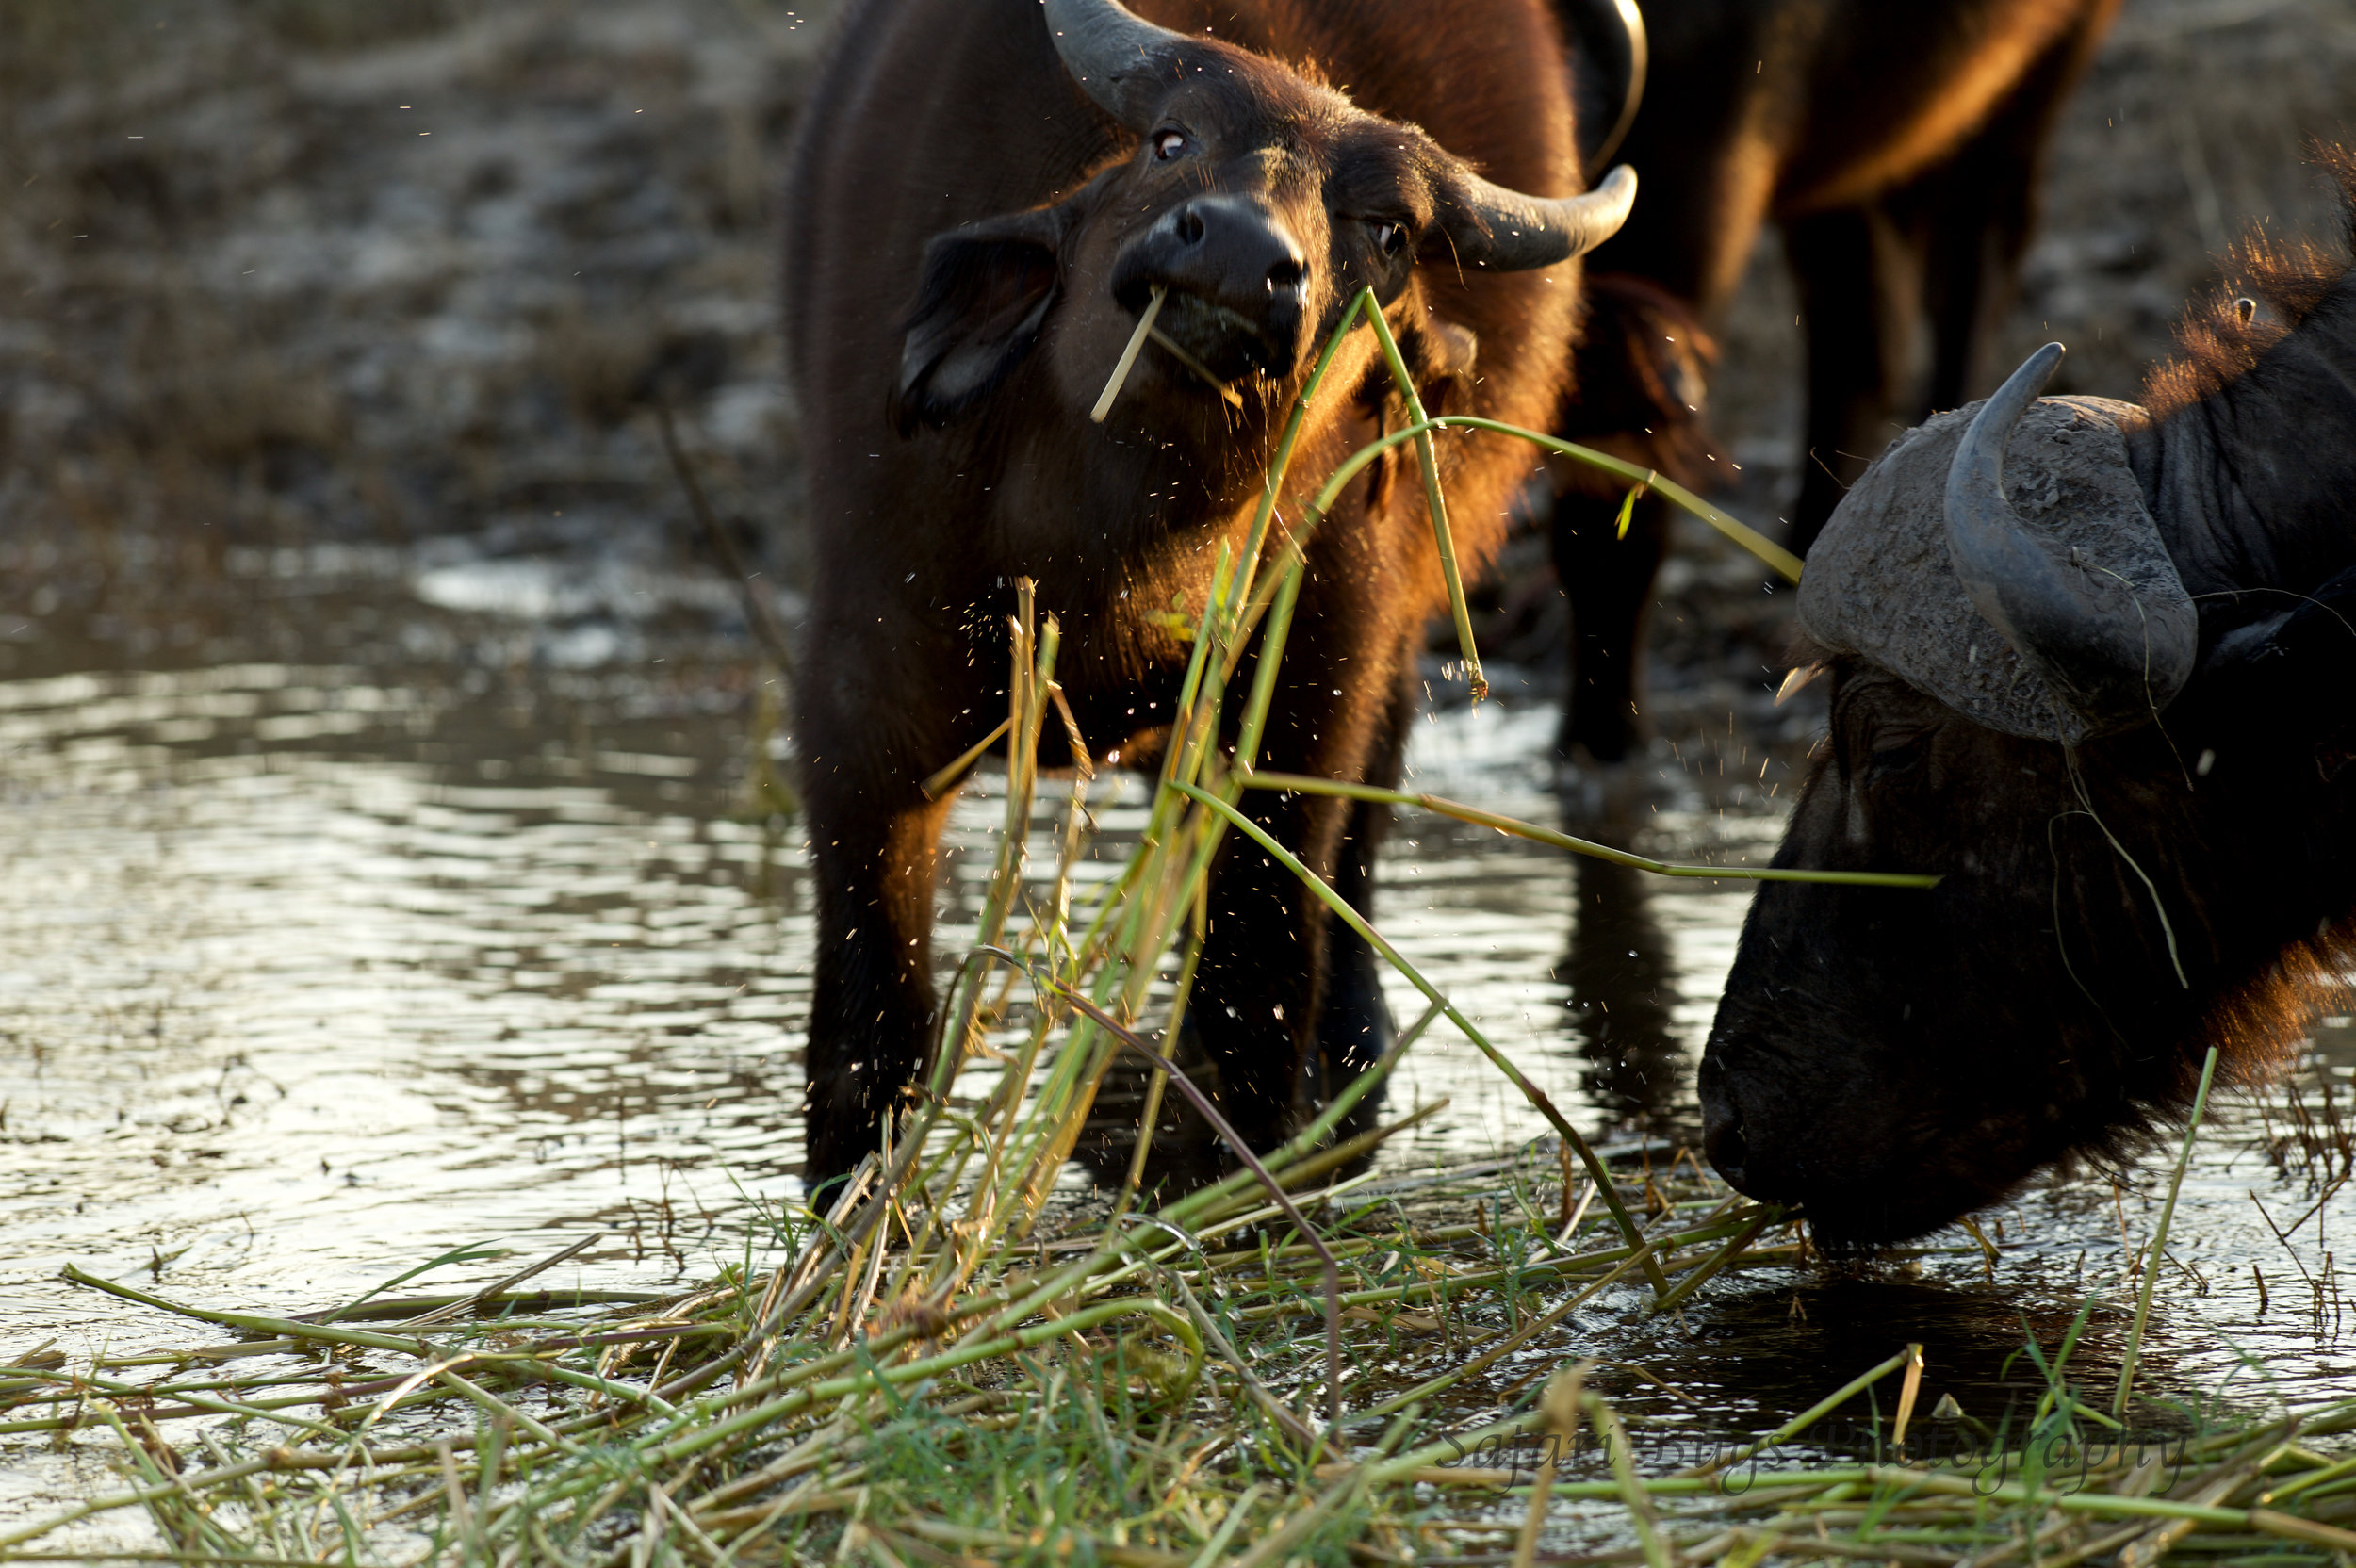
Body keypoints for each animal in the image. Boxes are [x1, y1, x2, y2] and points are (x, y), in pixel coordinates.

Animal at [787, 0, 1640, 1177]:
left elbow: (1253, 1002)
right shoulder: (860, 720)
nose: (1239, 252)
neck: (1103, 571)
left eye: (1389, 230)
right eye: (1170, 140)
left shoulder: (1305, 709)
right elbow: (870, 1043)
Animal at [1555, 0, 2130, 762]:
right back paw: (1808, 557)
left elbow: (1610, 498)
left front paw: (1604, 736)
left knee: (1969, 264)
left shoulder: (1686, 182)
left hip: (2032, 77)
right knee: (1858, 336)